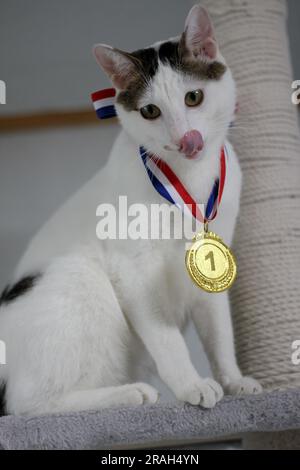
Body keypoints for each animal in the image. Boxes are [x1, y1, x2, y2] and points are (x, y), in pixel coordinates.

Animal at [0, 3, 260, 414]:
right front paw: (191, 385)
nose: (186, 140)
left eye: (193, 97)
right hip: (78, 278)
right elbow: (167, 339)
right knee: (27, 406)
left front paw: (232, 380)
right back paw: (129, 394)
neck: (189, 179)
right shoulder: (133, 269)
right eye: (150, 111)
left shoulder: (214, 259)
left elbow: (219, 334)